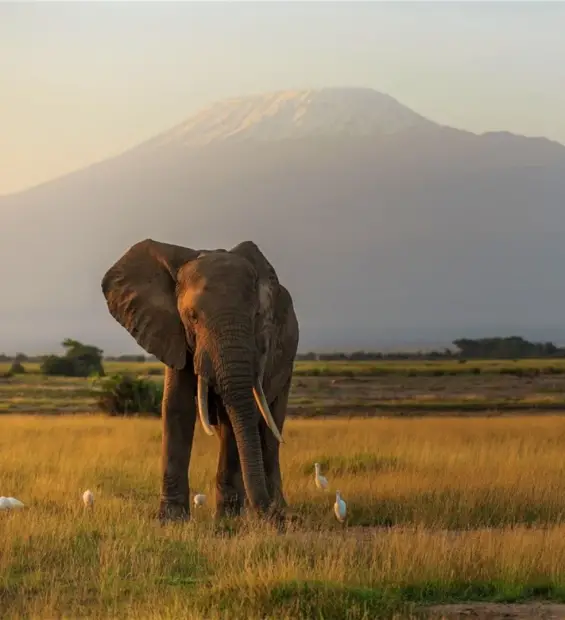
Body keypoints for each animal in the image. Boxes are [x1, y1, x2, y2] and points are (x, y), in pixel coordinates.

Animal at [100, 239, 300, 524]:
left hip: (288, 363)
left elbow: (235, 415)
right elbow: (177, 407)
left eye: (256, 316)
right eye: (192, 316)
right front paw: (171, 521)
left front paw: (227, 521)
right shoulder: (172, 332)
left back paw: (272, 507)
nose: (278, 520)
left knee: (270, 430)